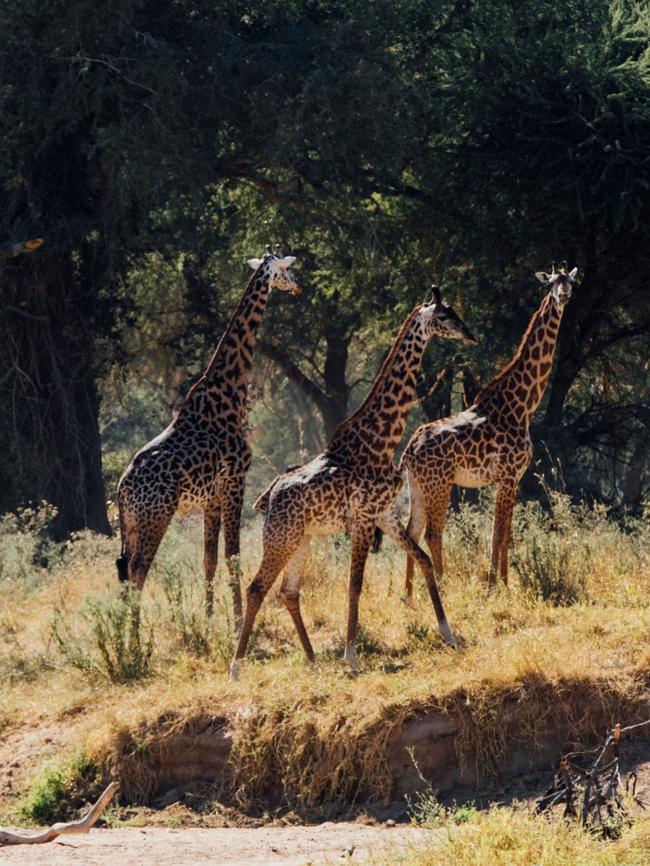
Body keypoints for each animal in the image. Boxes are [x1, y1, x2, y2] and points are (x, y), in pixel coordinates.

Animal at [116, 250, 298, 620]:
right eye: (288, 271)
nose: (298, 288)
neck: (230, 389)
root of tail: (123, 489)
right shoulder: (235, 481)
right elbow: (233, 555)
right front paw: (238, 620)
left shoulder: (211, 496)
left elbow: (209, 558)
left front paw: (210, 616)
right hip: (156, 515)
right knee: (139, 567)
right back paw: (135, 634)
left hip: (130, 523)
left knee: (124, 569)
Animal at [229, 286, 476, 680]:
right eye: (443, 315)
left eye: (454, 311)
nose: (469, 335)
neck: (382, 441)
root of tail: (266, 498)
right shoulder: (362, 519)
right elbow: (354, 584)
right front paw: (351, 656)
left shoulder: (384, 514)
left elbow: (422, 559)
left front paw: (448, 633)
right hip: (281, 537)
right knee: (257, 588)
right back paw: (236, 668)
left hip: (302, 539)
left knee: (288, 591)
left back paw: (313, 661)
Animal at [400, 260, 576, 592]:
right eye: (550, 283)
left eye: (571, 282)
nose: (563, 296)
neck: (523, 405)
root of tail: (409, 452)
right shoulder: (507, 475)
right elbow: (498, 533)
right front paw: (496, 586)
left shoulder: (514, 477)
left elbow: (505, 533)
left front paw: (503, 582)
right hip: (438, 484)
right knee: (433, 533)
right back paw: (442, 586)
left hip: (417, 486)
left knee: (412, 532)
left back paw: (408, 595)